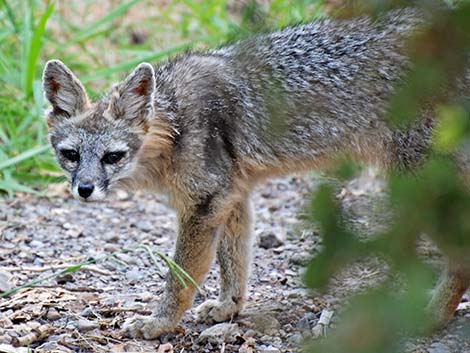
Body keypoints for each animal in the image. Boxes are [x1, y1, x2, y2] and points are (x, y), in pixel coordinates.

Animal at [43, 8, 470, 338]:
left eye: (113, 157)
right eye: (70, 155)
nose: (84, 189)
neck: (176, 120)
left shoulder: (204, 202)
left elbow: (181, 277)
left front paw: (158, 323)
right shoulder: (233, 195)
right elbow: (234, 262)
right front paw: (227, 308)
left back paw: (431, 316)